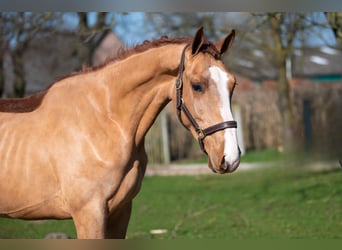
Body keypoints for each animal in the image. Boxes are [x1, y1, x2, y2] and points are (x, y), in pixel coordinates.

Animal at [0, 27, 240, 238]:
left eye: (233, 84)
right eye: (197, 85)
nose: (231, 158)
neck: (104, 122)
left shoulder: (120, 212)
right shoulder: (89, 214)